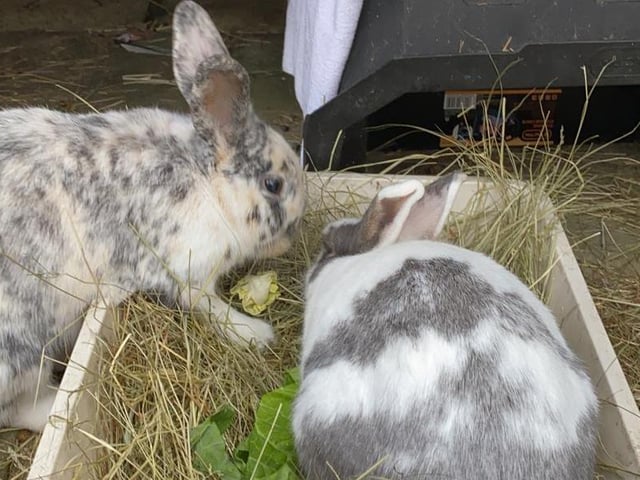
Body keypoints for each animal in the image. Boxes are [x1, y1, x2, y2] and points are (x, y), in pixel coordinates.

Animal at [0, 0, 305, 432]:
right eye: (273, 185)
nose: (293, 236)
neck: (205, 181)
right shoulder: (181, 270)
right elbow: (210, 307)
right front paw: (258, 334)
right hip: (26, 348)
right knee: (20, 409)